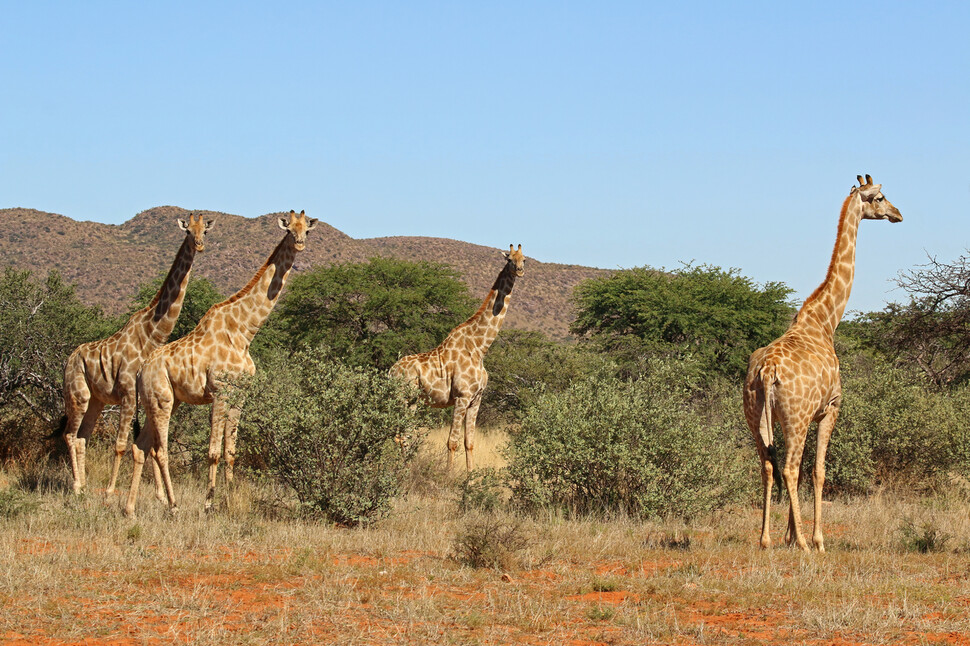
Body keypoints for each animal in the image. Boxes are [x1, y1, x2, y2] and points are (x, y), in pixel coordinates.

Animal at [62, 214, 212, 496]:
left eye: (205, 232)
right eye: (187, 231)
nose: (199, 245)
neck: (152, 335)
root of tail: (69, 358)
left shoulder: (145, 396)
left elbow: (149, 445)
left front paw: (161, 497)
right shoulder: (128, 393)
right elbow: (122, 444)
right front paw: (111, 493)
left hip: (97, 400)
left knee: (82, 437)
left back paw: (84, 486)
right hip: (78, 395)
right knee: (69, 435)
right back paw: (76, 486)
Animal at [123, 210, 316, 520]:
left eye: (306, 230)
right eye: (289, 230)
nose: (299, 244)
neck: (244, 332)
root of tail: (141, 369)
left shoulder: (240, 396)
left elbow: (231, 452)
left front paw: (230, 499)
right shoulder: (220, 393)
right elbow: (213, 451)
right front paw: (208, 504)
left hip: (164, 401)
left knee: (141, 446)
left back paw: (129, 509)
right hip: (161, 400)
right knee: (160, 450)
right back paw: (173, 506)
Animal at [388, 243, 524, 470]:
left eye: (524, 259)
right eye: (509, 259)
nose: (520, 270)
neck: (480, 347)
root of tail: (390, 372)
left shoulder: (476, 399)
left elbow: (469, 442)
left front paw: (470, 478)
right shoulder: (462, 397)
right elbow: (452, 442)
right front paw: (448, 475)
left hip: (410, 401)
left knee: (401, 434)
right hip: (405, 398)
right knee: (402, 435)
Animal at [740, 176, 900, 552]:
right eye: (881, 197)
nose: (897, 214)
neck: (826, 320)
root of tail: (767, 371)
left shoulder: (801, 416)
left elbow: (800, 470)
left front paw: (786, 534)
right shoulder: (830, 408)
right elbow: (818, 470)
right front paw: (816, 538)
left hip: (756, 417)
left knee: (768, 466)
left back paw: (765, 540)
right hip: (795, 417)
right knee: (789, 468)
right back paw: (804, 544)